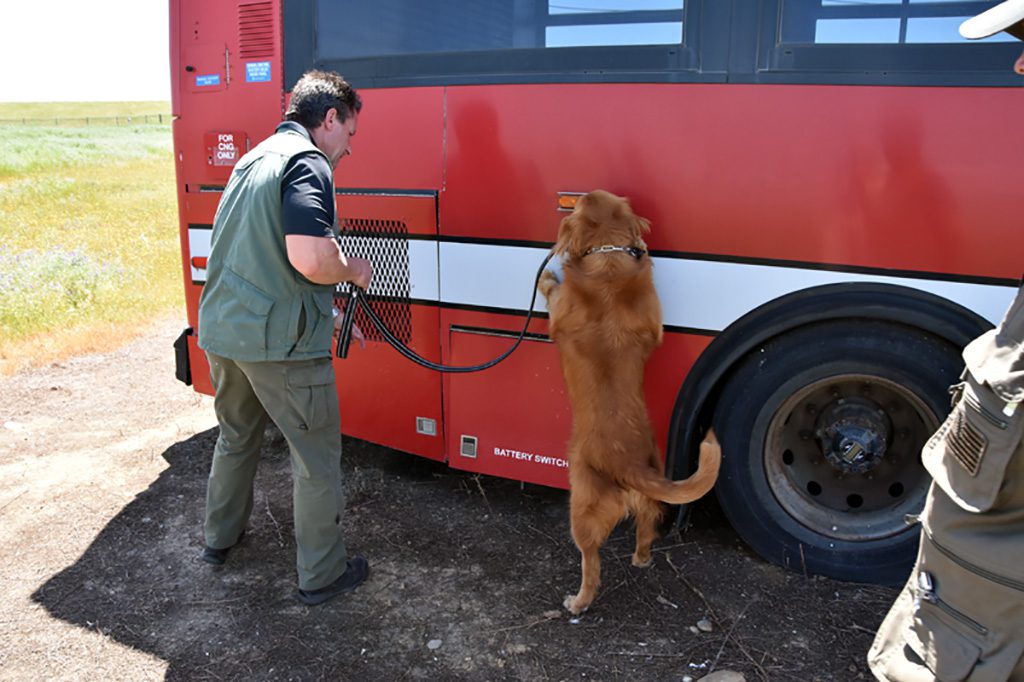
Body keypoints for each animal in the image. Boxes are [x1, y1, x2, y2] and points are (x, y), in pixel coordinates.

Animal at [536, 188, 720, 614]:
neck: (607, 259)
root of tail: (629, 465)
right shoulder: (654, 320)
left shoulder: (558, 316)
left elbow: (551, 291)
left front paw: (548, 275)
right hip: (648, 498)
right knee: (646, 527)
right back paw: (641, 558)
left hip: (581, 507)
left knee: (592, 562)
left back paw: (578, 601)